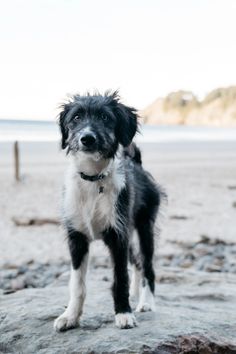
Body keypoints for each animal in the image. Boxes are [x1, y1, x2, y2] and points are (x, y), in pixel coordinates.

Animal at [54, 91, 163, 332]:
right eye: (76, 117)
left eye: (105, 117)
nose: (87, 138)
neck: (94, 178)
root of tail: (136, 164)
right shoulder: (77, 237)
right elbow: (77, 283)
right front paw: (70, 316)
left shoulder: (117, 236)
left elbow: (119, 277)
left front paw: (124, 313)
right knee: (137, 262)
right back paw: (135, 294)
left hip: (145, 226)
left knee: (147, 266)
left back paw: (146, 302)